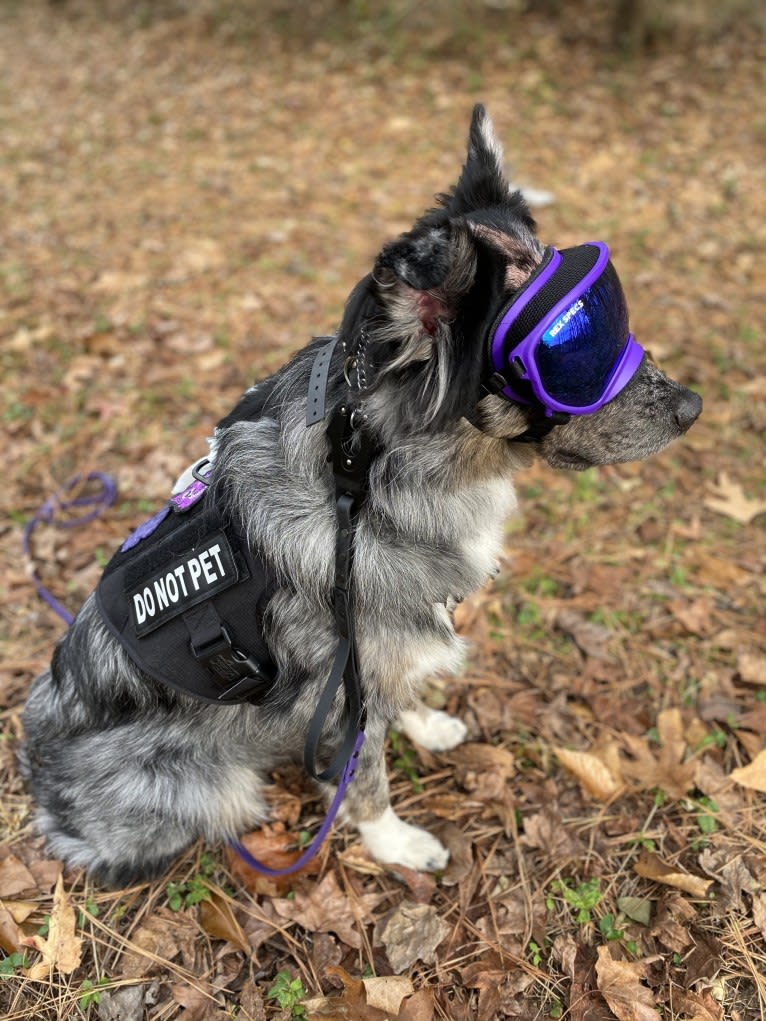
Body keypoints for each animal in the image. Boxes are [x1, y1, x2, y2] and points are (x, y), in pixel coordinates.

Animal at [18, 105, 706, 886]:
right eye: (568, 348)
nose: (692, 407)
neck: (369, 475)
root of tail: (37, 782)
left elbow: (397, 692)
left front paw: (425, 722)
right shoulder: (340, 688)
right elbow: (365, 773)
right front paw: (394, 842)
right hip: (213, 783)